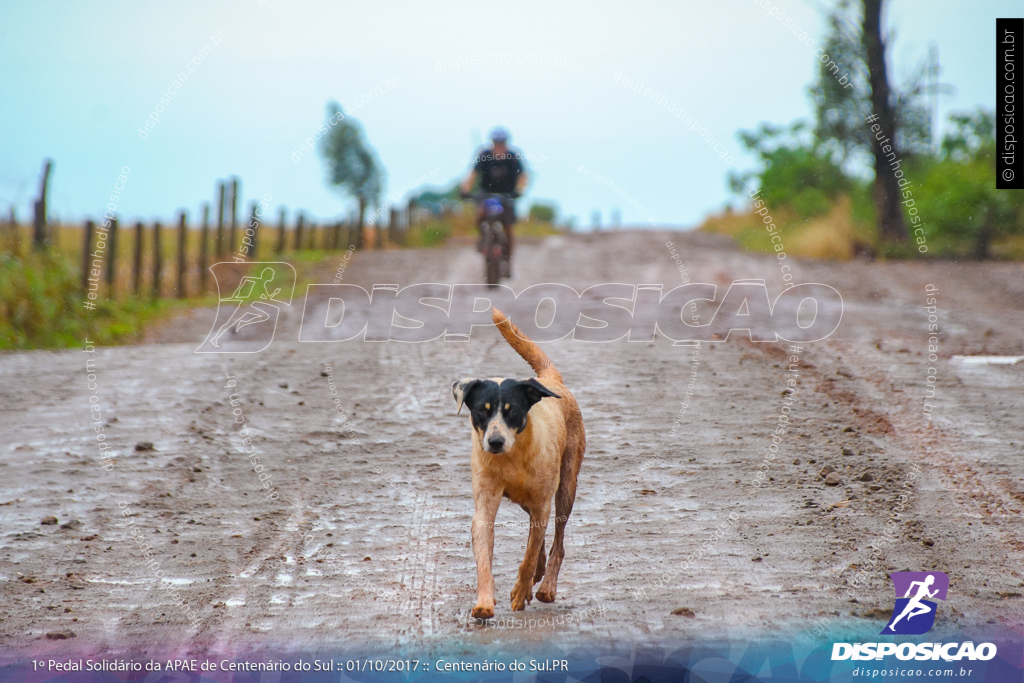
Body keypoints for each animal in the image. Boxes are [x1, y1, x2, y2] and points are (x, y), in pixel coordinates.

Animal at [454, 309, 589, 618]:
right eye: (481, 410)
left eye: (512, 410)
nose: (494, 442)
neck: (512, 458)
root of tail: (548, 379)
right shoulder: (485, 504)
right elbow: (485, 556)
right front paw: (484, 603)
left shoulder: (542, 503)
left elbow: (529, 555)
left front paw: (519, 592)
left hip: (566, 486)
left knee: (556, 541)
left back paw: (545, 587)